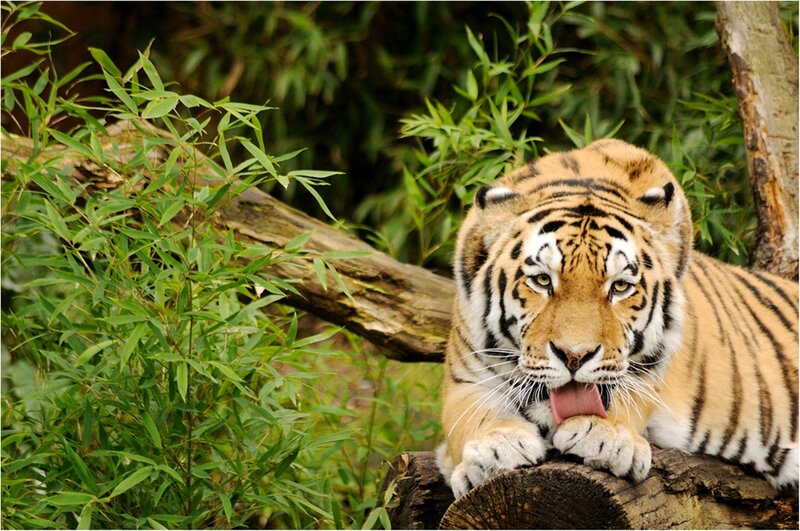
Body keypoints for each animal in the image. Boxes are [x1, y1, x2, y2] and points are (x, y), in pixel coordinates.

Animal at [437, 139, 798, 499]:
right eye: (541, 280)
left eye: (620, 286)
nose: (574, 356)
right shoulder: (465, 378)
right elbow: (475, 415)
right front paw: (496, 448)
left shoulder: (653, 369)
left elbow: (628, 395)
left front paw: (604, 436)